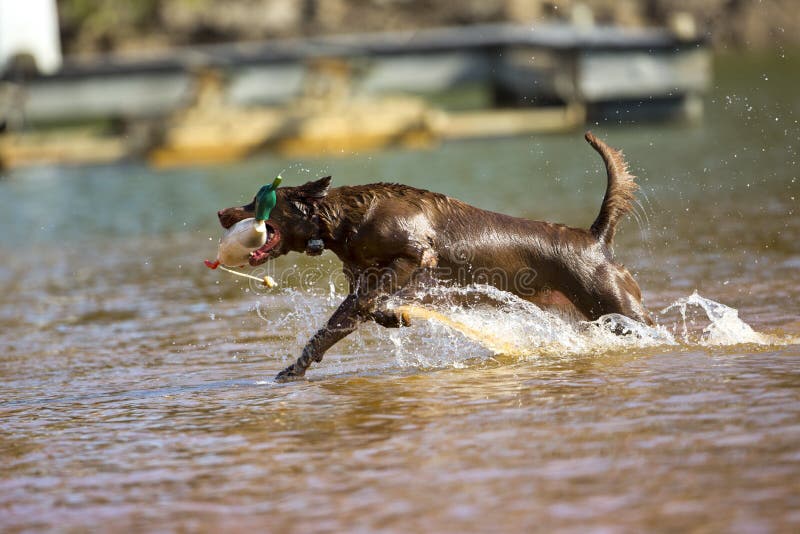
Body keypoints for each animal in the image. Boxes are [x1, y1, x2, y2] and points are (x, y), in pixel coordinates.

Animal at [217, 133, 648, 382]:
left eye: (257, 201)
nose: (221, 213)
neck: (344, 222)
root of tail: (593, 238)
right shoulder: (361, 276)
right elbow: (359, 309)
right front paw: (394, 317)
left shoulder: (415, 253)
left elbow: (348, 314)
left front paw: (294, 369)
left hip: (615, 304)